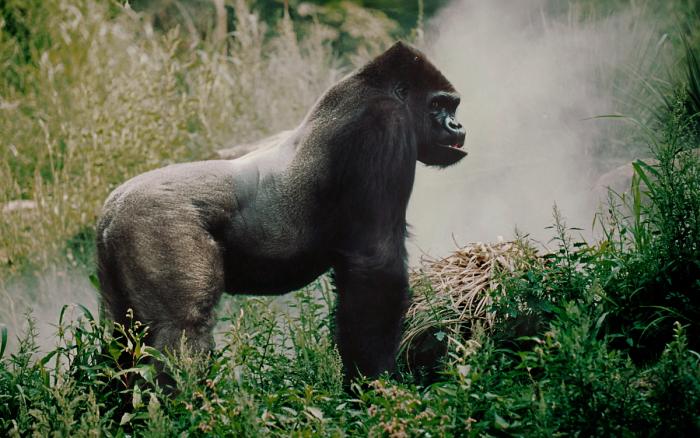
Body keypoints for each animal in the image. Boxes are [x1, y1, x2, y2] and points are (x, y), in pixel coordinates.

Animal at [96, 41, 467, 382]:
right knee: (180, 331)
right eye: (438, 104)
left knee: (122, 340)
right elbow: (375, 265)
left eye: (452, 106)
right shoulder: (385, 125)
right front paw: (375, 384)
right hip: (157, 224)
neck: (371, 87)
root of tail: (111, 210)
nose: (457, 127)